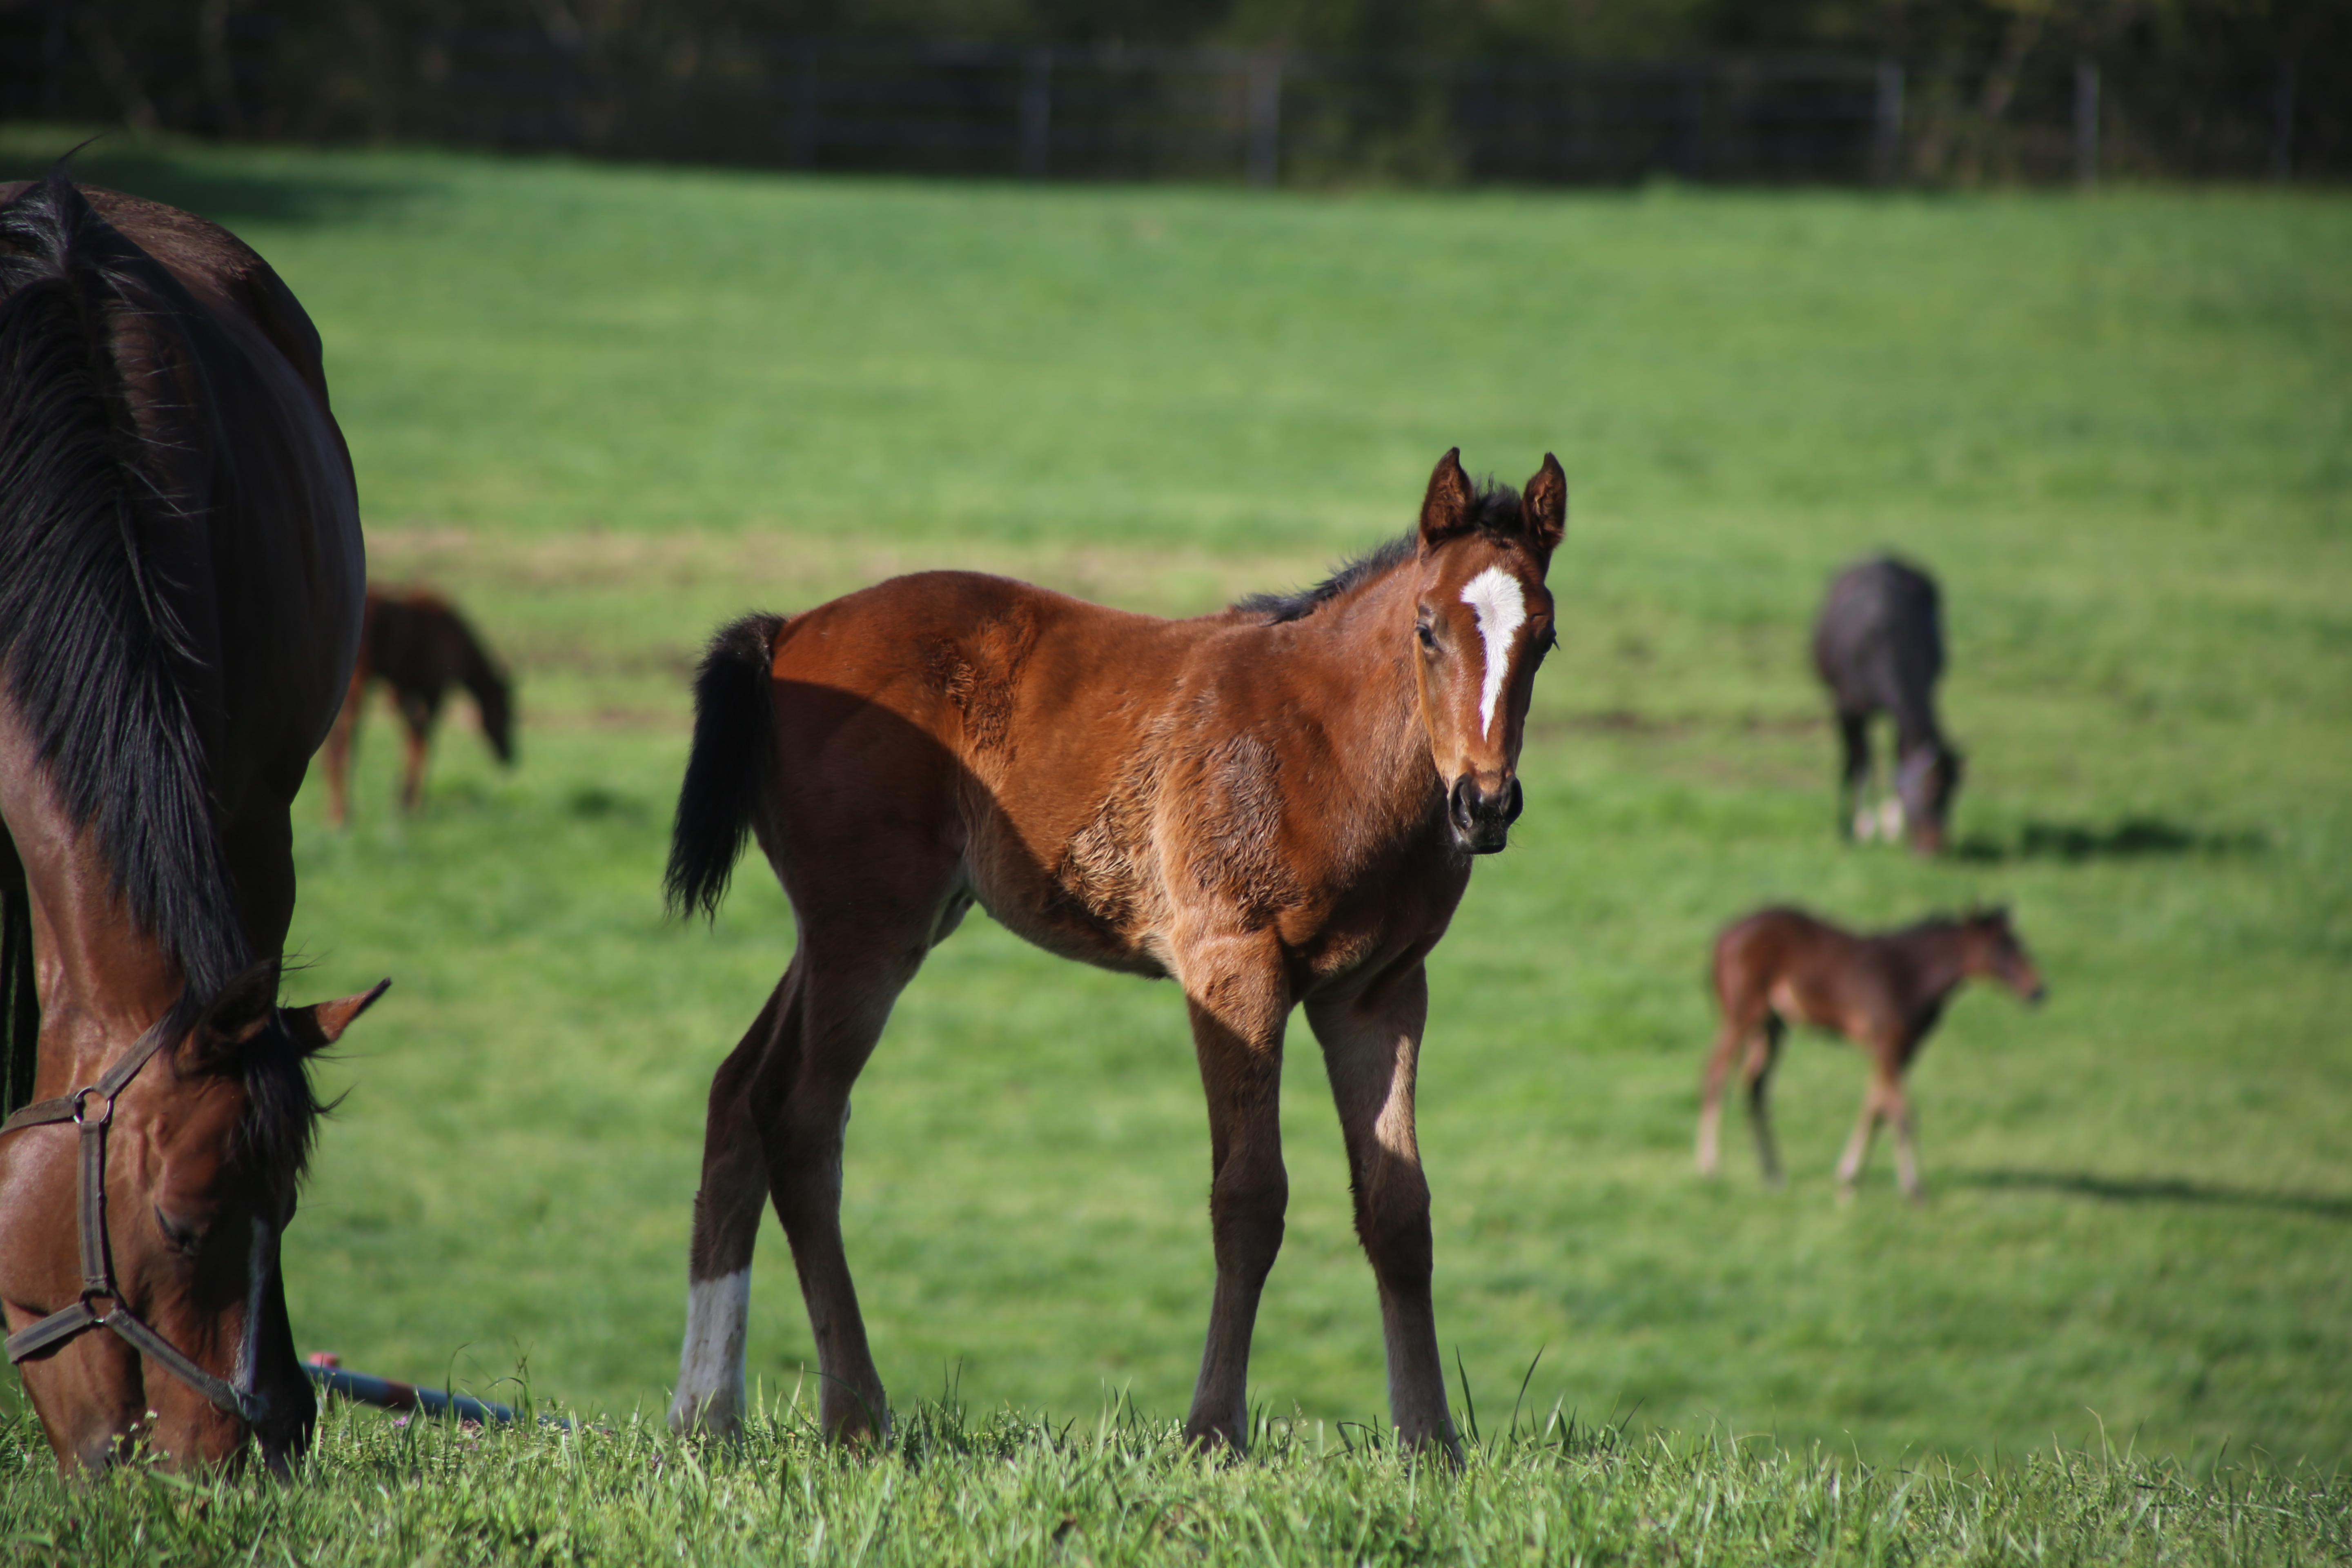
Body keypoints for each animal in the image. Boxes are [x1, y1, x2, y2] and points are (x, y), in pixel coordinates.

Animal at [322, 588, 515, 827]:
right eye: (506, 714)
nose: (511, 756)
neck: (455, 636)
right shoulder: (433, 689)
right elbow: (424, 743)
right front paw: (415, 805)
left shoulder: (401, 690)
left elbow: (411, 739)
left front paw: (402, 803)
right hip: (357, 686)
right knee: (345, 743)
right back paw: (342, 816)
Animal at [663, 451, 1571, 1457]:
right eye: (1426, 628)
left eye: (1546, 638)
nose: (1483, 805)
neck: (1329, 750)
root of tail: (786, 631)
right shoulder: (1231, 968)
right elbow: (1249, 1199)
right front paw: (1214, 1434)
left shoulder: (1380, 992)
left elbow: (1399, 1208)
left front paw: (1431, 1445)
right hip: (868, 932)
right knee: (801, 1120)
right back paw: (857, 1416)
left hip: (858, 928)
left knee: (738, 1093)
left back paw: (705, 1413)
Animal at [1693, 907, 2041, 1203]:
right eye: (2002, 948)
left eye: (2019, 944)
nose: (2038, 990)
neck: (1910, 976)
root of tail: (1723, 937)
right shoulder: (1888, 1046)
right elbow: (1901, 1113)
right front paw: (1914, 1190)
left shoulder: (1899, 1051)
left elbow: (1876, 1108)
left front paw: (1848, 1181)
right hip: (1743, 1015)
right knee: (1716, 1072)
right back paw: (1710, 1169)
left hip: (1772, 1026)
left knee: (1755, 1086)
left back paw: (1773, 1176)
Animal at [1806, 561, 1957, 860]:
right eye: (1929, 790)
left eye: (1951, 794)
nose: (1935, 847)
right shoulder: (1848, 707)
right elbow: (1858, 761)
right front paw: (1858, 827)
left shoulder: (1900, 713)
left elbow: (1897, 755)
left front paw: (1891, 826)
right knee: (1857, 758)